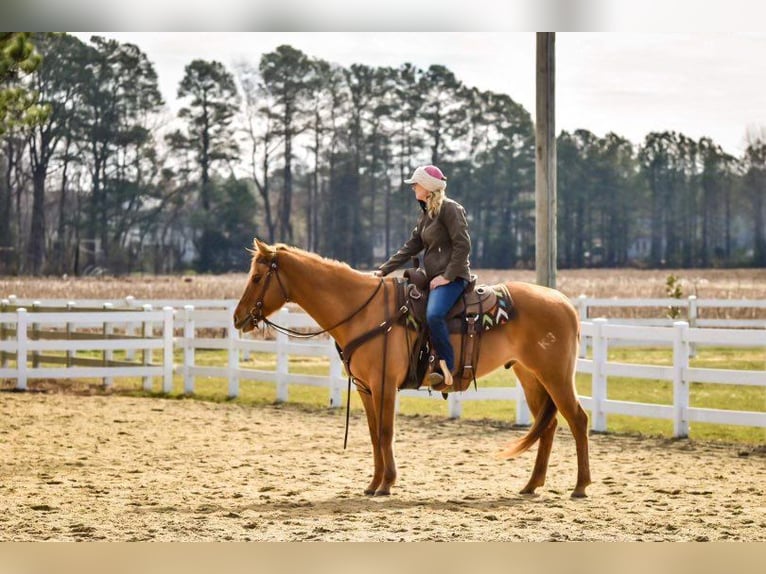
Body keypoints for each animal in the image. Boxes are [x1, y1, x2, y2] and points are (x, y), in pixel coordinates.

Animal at [236, 238, 592, 500]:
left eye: (257, 277)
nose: (238, 318)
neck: (362, 311)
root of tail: (565, 304)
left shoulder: (384, 385)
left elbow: (385, 433)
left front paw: (387, 484)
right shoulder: (366, 389)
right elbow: (373, 435)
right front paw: (373, 483)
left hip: (556, 376)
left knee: (577, 420)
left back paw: (580, 486)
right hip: (530, 376)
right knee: (548, 425)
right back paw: (532, 485)